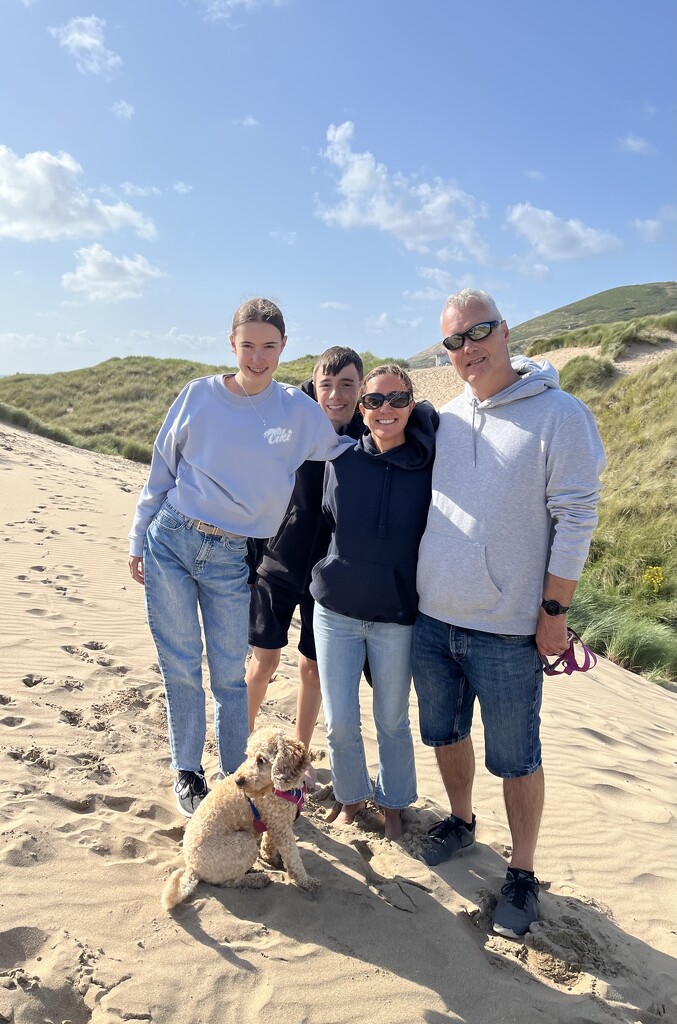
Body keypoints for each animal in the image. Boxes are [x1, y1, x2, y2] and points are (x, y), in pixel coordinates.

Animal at [160, 724, 319, 909]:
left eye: (261, 760)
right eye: (248, 755)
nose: (238, 781)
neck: (278, 787)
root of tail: (192, 868)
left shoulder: (275, 823)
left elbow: (268, 844)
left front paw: (271, 859)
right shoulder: (282, 829)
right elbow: (294, 861)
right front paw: (308, 882)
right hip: (245, 844)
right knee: (229, 882)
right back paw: (257, 879)